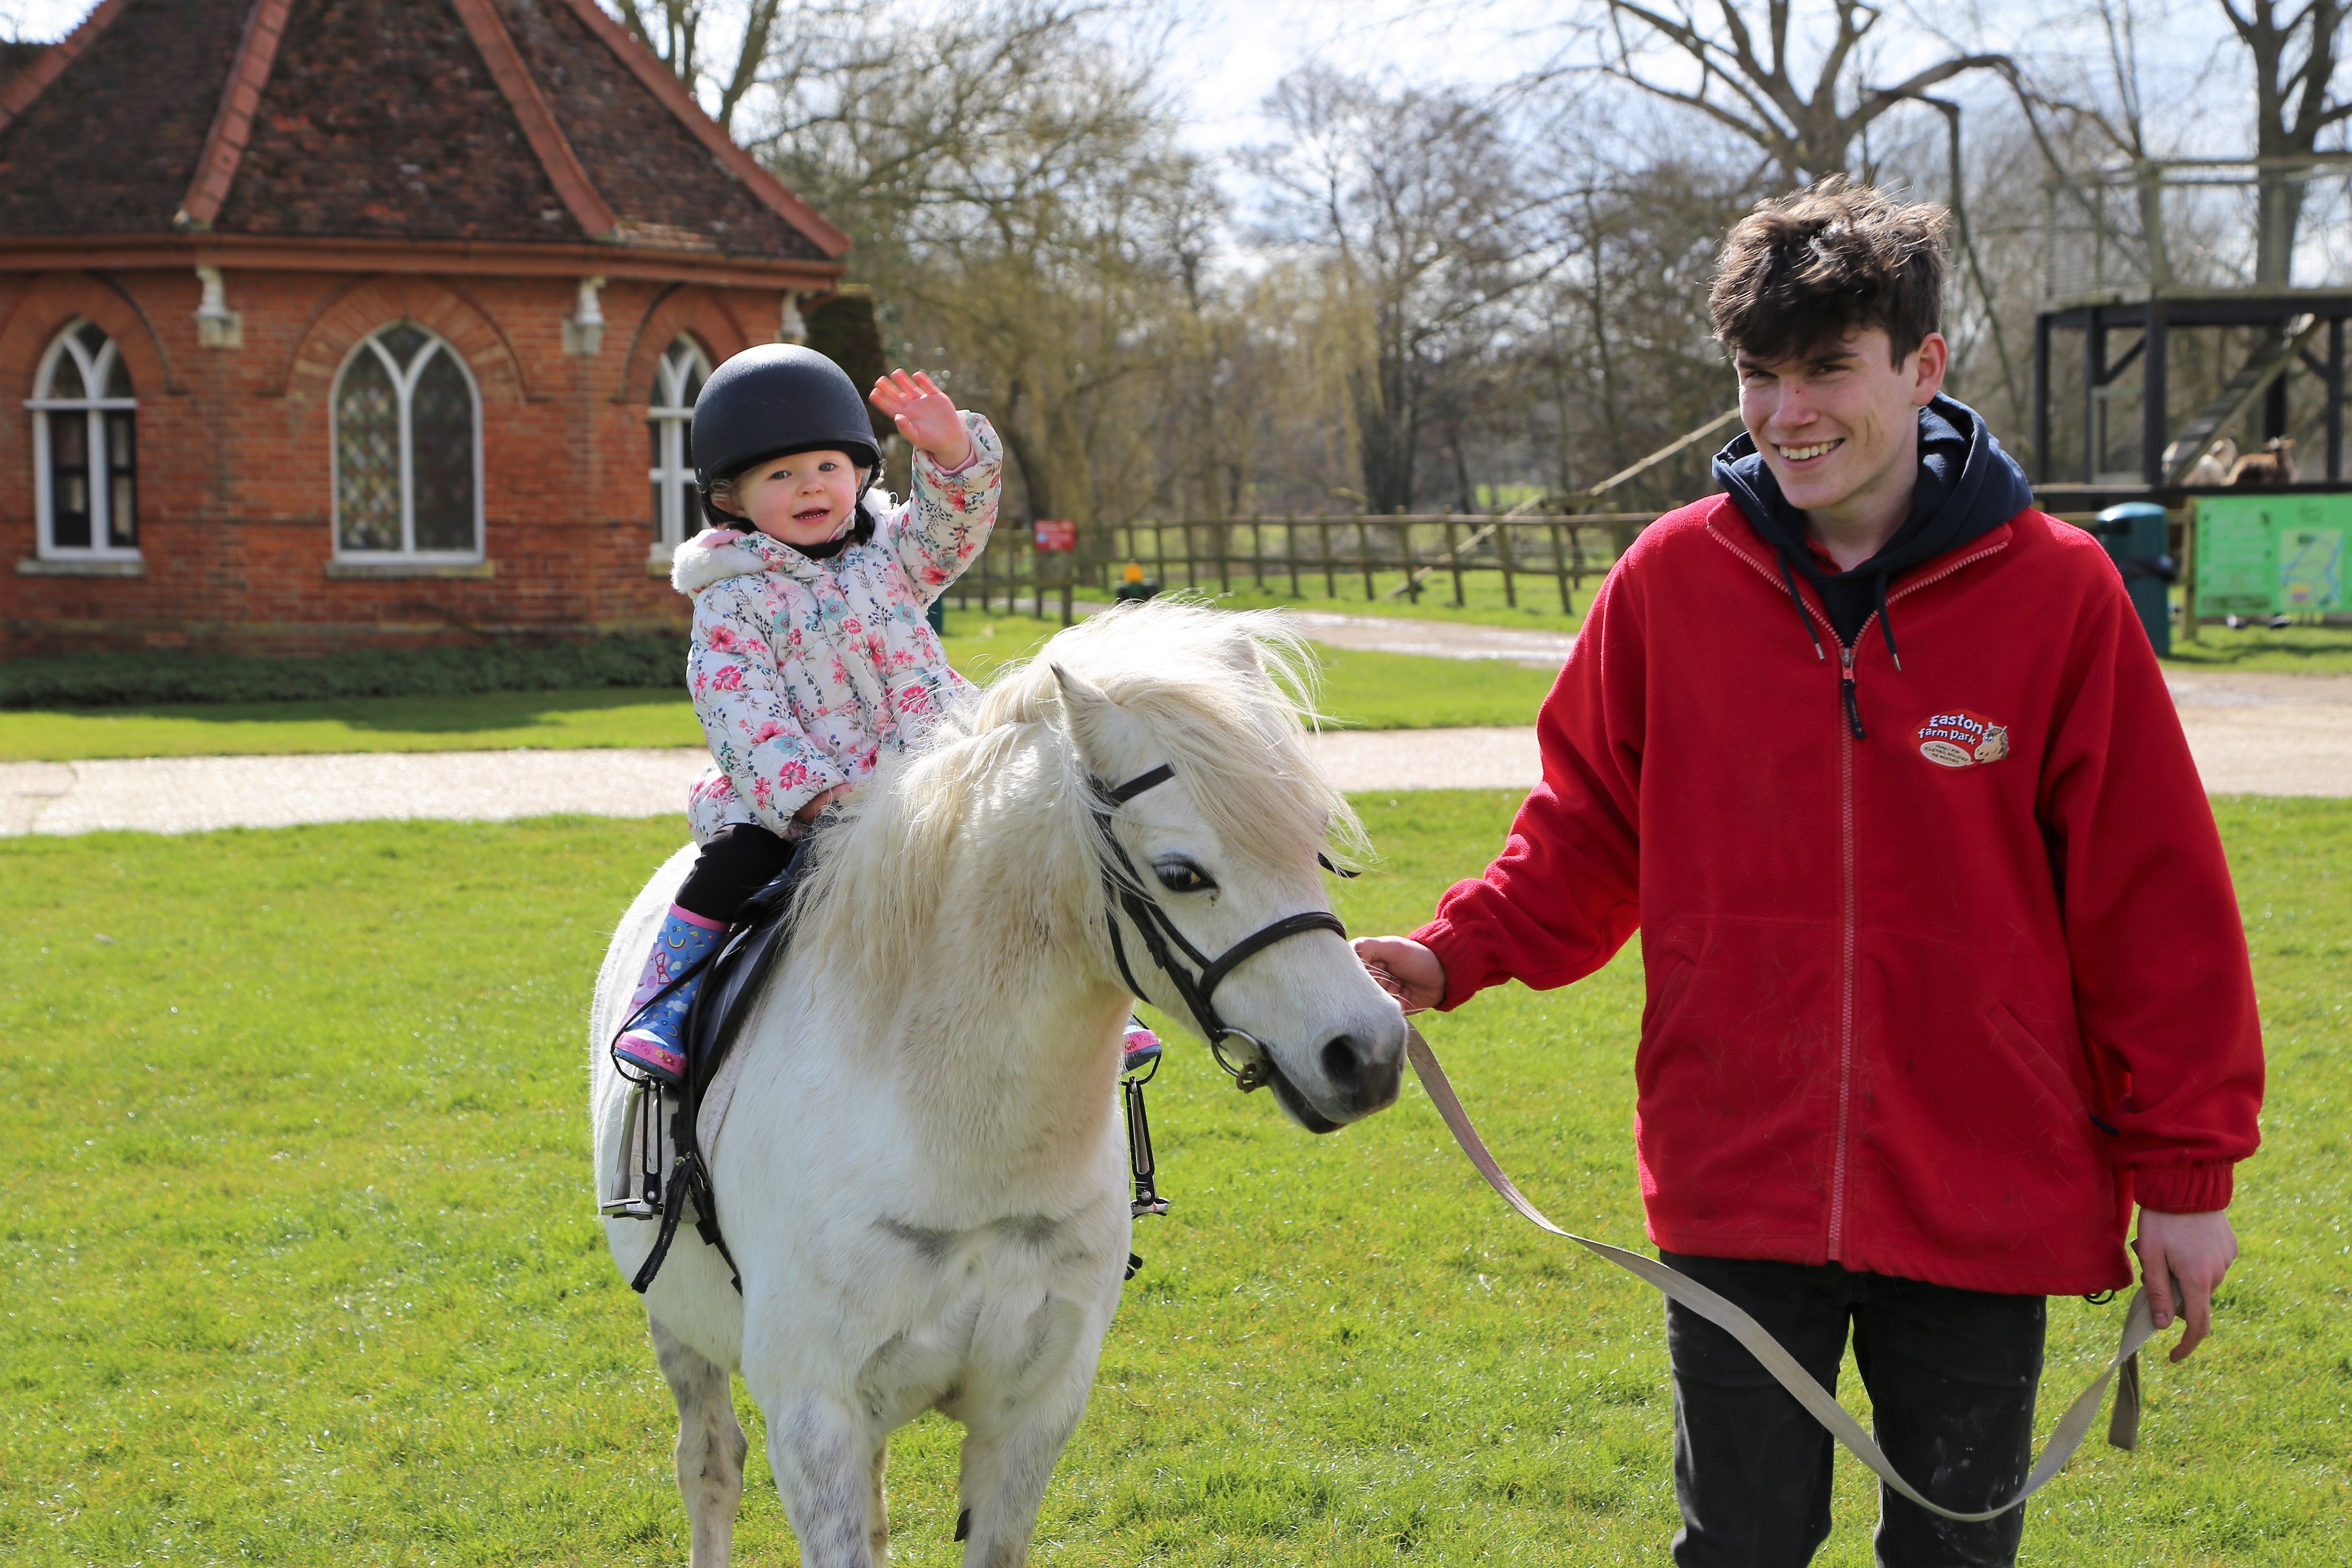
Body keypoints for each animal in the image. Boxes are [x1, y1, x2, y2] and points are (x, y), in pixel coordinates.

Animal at [589, 599, 1409, 1568]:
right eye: (1181, 873)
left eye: (1315, 847)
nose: (1368, 1050)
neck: (960, 1133)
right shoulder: (813, 1417)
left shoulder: (1032, 1413)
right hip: (682, 1333)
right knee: (710, 1466)